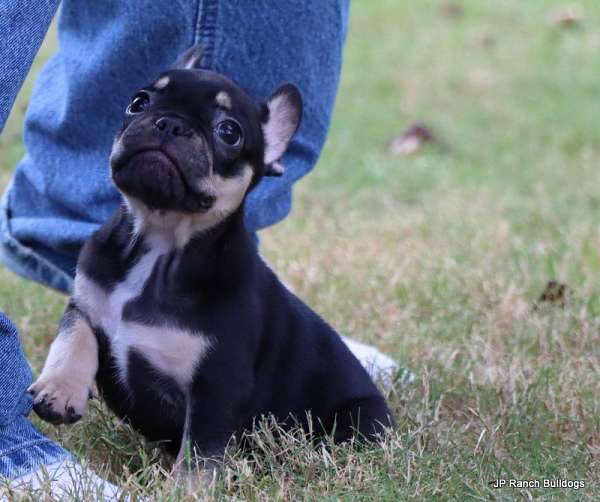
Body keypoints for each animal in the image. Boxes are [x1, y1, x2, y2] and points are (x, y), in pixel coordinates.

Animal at [29, 46, 394, 474]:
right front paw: (60, 389)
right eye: (138, 102)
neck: (159, 241)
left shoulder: (216, 386)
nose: (169, 123)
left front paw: (186, 487)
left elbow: (198, 456)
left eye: (229, 132)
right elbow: (73, 337)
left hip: (359, 422)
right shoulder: (86, 300)